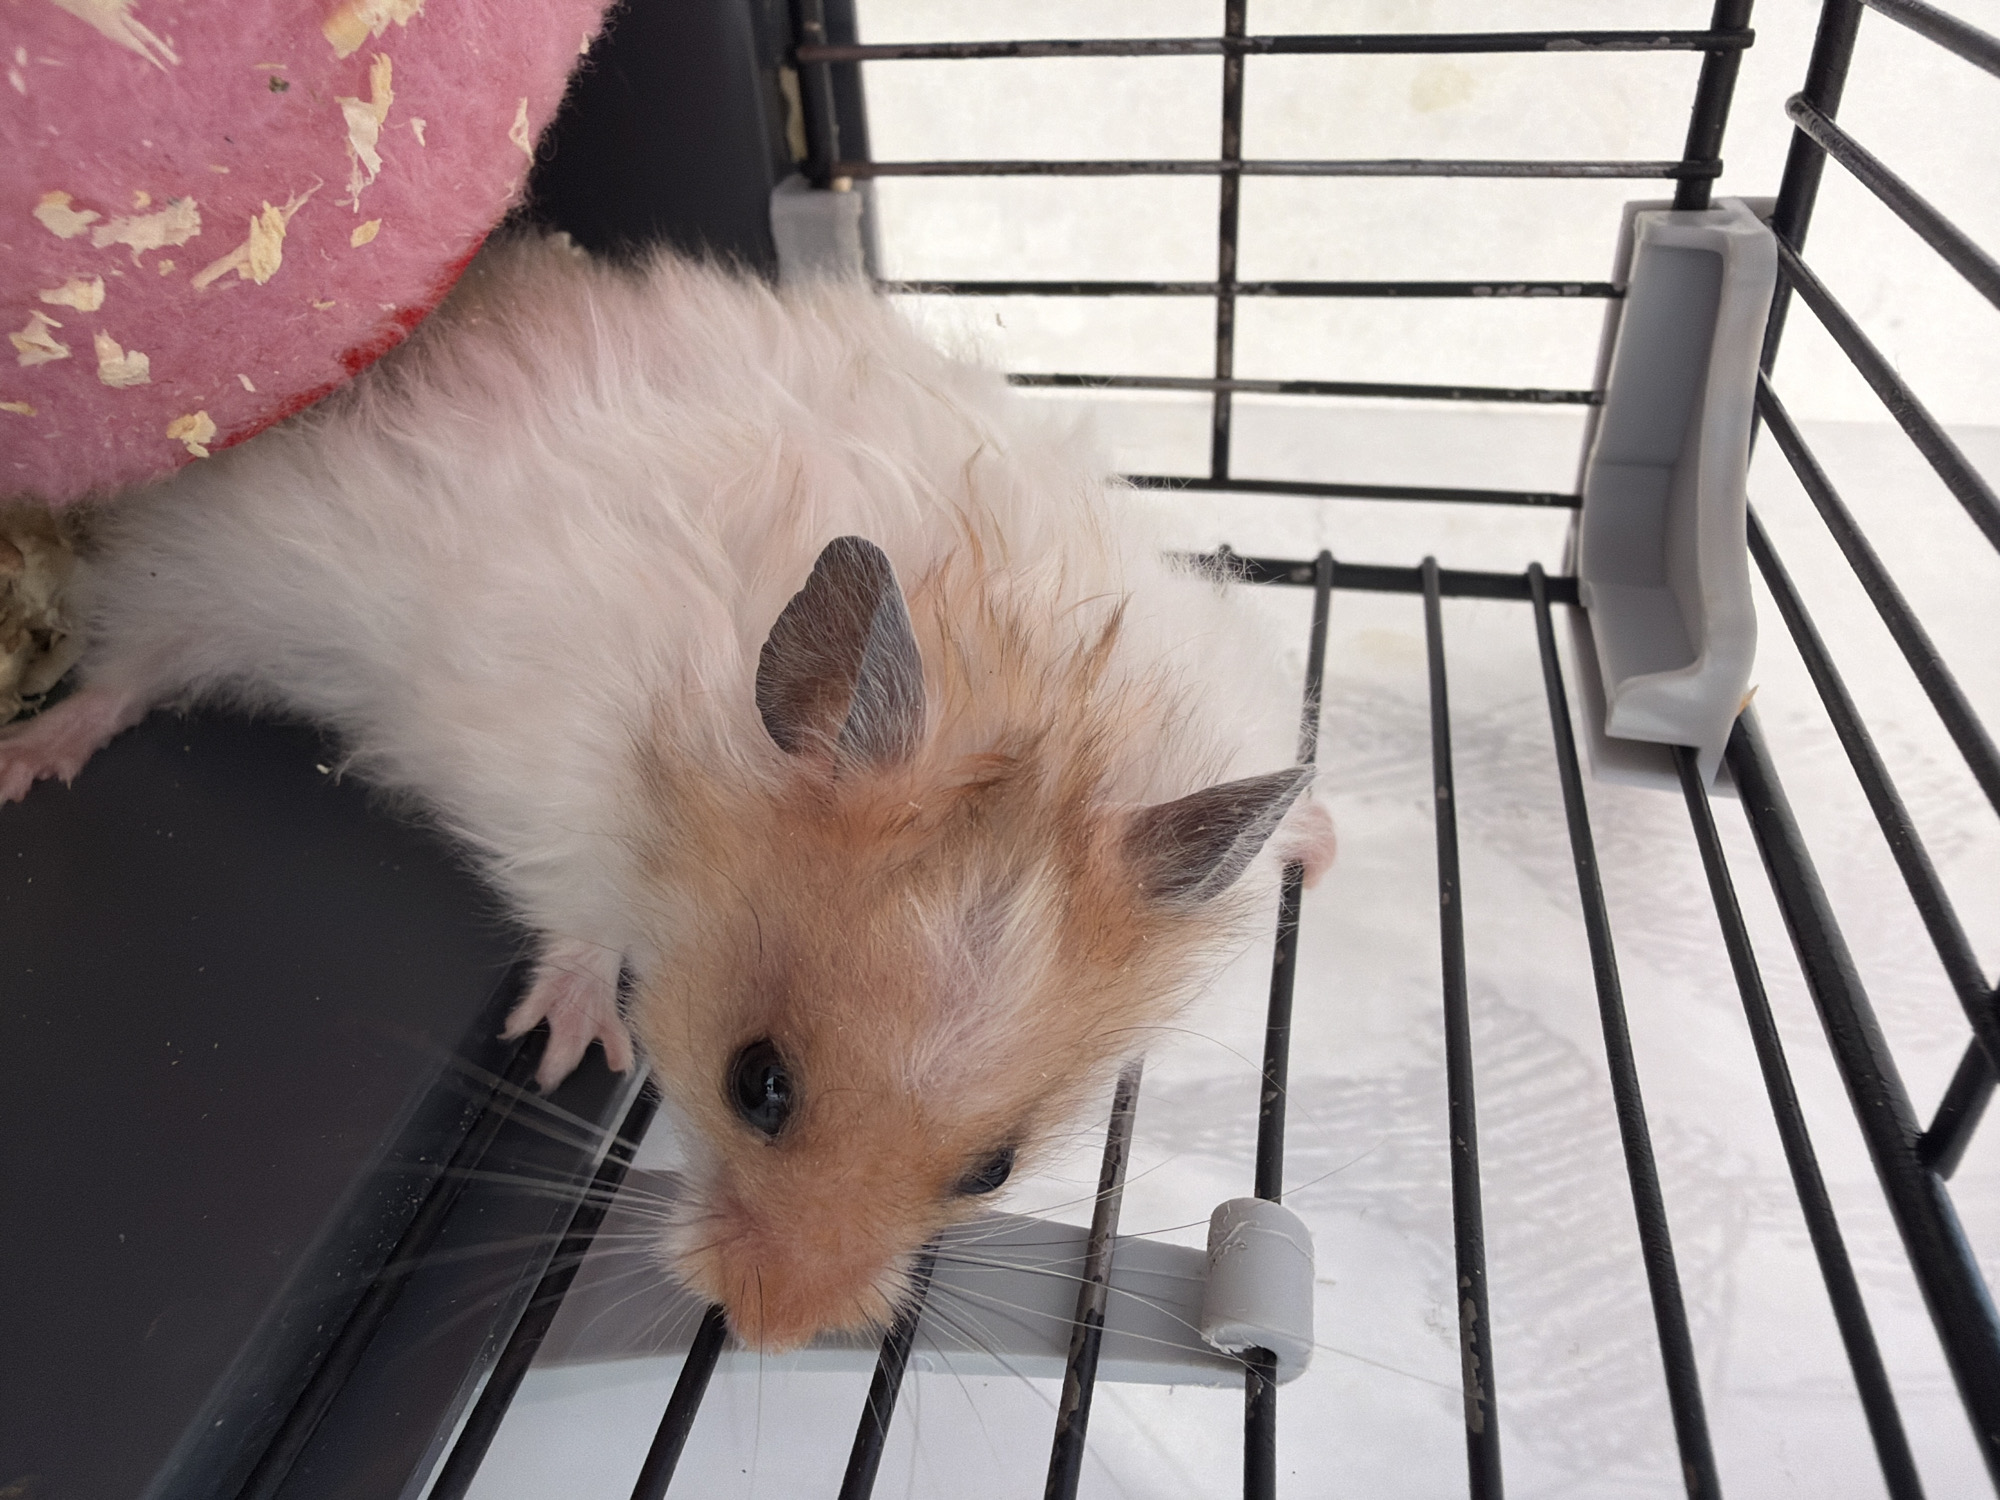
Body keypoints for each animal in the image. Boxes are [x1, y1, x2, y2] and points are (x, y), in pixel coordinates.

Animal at [0, 235, 1333, 1350]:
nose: (771, 1332)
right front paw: (564, 1050)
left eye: (991, 1170)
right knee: (128, 665)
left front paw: (1311, 839)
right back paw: (32, 756)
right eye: (756, 1085)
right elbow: (580, 912)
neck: (1024, 693)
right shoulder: (540, 768)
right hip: (215, 566)